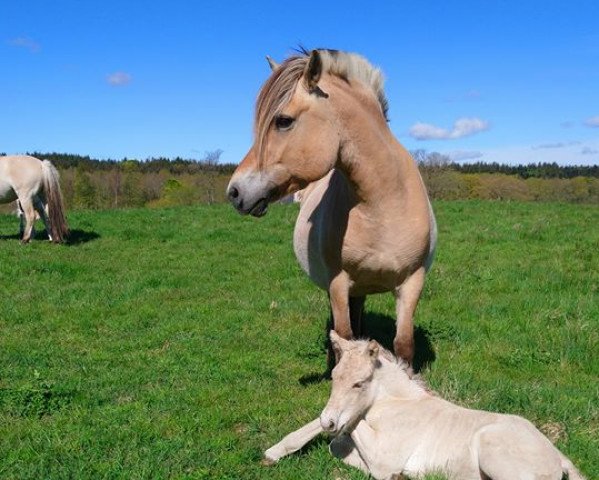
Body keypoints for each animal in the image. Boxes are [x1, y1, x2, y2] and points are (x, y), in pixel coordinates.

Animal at [227, 47, 438, 364]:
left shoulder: (412, 283)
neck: (381, 208)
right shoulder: (338, 284)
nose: (235, 191)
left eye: (283, 121)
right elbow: (344, 339)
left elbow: (403, 345)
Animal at [266, 332, 584, 480]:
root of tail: (557, 455)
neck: (398, 403)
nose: (329, 421)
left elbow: (347, 439)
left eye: (360, 383)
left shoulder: (385, 454)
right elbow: (336, 440)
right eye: (333, 377)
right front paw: (274, 452)